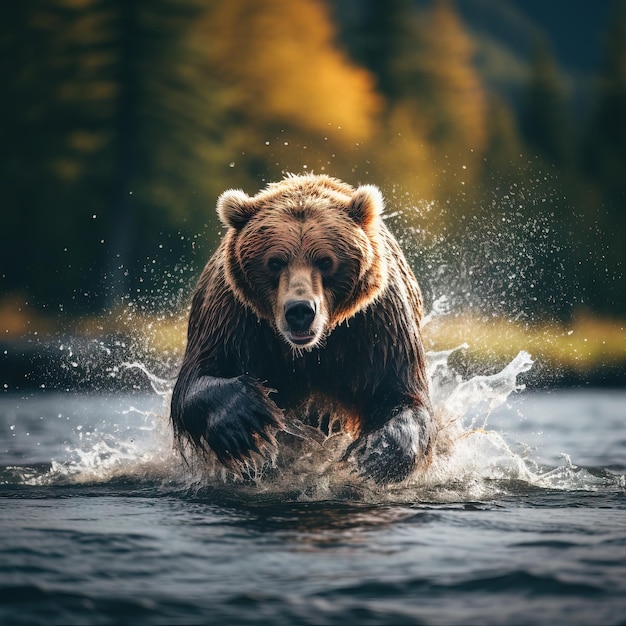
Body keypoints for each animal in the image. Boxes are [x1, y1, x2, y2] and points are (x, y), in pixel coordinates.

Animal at [171, 173, 434, 480]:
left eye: (326, 260)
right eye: (274, 262)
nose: (300, 311)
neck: (308, 351)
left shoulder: (375, 325)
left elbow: (400, 392)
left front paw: (377, 454)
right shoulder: (234, 317)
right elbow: (197, 379)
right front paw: (248, 416)